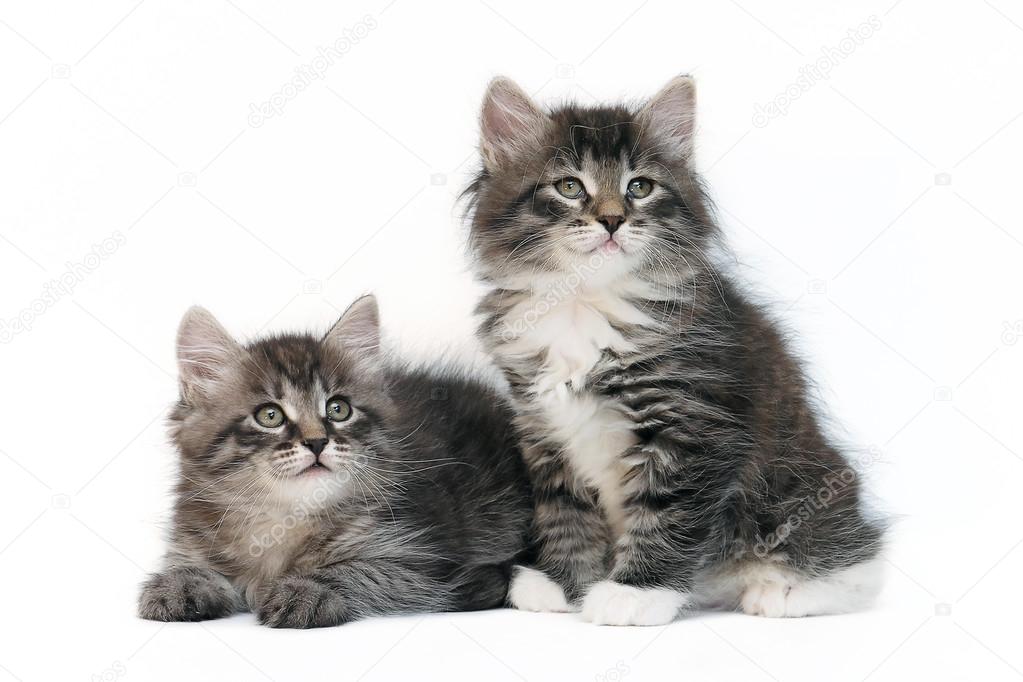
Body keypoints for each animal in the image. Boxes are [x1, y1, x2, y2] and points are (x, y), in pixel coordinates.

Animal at [137, 296, 531, 625]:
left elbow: (354, 571)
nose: (316, 442)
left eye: (338, 409)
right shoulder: (190, 540)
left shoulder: (418, 564)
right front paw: (178, 586)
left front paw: (305, 590)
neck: (283, 518)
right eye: (269, 416)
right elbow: (191, 567)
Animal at [466, 76, 887, 625]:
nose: (612, 221)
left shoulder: (693, 426)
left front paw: (636, 593)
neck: (584, 301)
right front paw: (562, 583)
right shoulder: (543, 430)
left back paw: (780, 591)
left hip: (803, 485)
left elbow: (669, 516)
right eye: (569, 187)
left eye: (639, 187)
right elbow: (564, 511)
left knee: (858, 562)